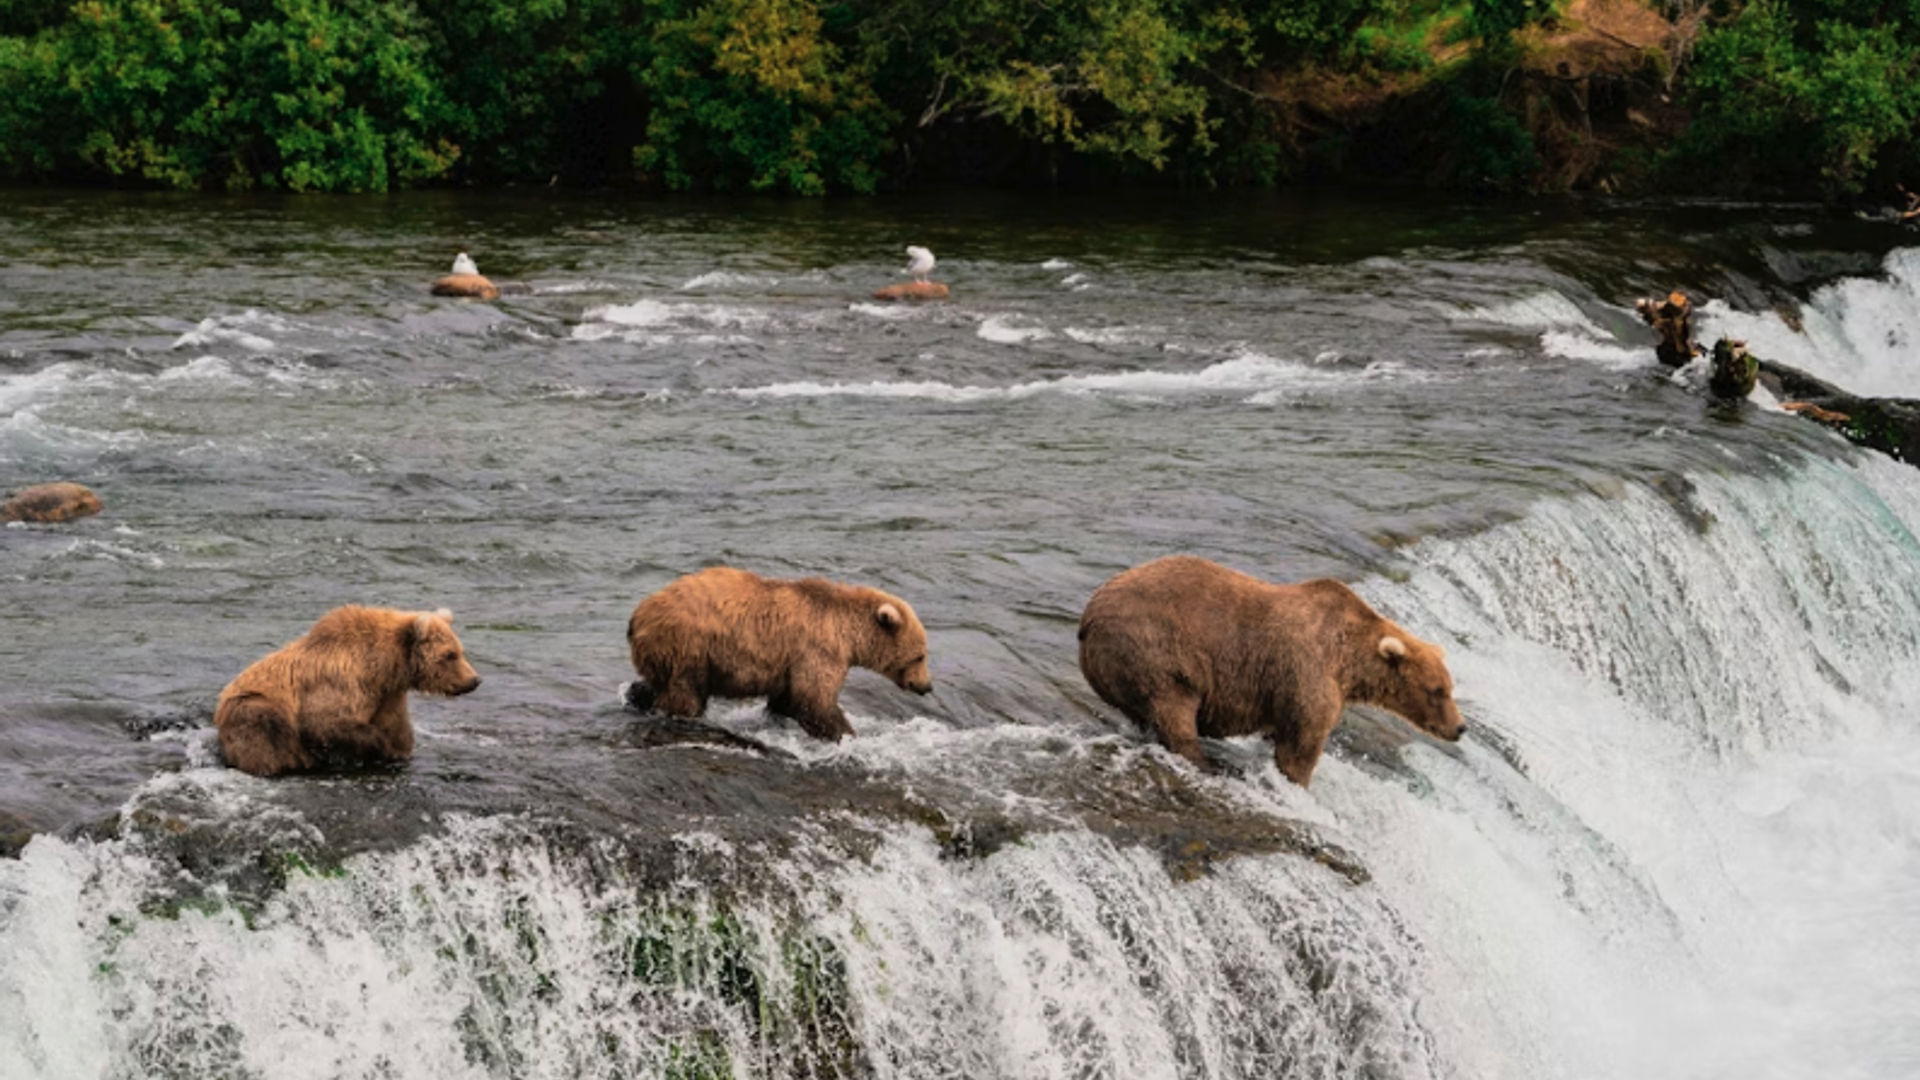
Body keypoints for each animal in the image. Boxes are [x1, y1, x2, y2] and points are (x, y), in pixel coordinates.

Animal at [214, 605, 482, 777]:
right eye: (450, 655)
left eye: (460, 651)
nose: (475, 680)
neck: (384, 667)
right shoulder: (340, 682)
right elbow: (325, 720)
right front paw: (378, 746)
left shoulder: (388, 695)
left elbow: (398, 732)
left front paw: (396, 751)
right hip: (250, 706)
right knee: (265, 727)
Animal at [625, 566, 933, 739]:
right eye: (920, 655)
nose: (926, 686)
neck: (847, 633)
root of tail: (639, 613)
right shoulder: (818, 649)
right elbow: (814, 698)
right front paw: (847, 734)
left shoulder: (791, 662)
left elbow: (788, 698)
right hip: (690, 646)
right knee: (685, 693)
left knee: (657, 683)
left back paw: (637, 696)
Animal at [1077, 555, 1464, 787]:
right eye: (1437, 690)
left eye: (1449, 687)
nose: (1460, 728)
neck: (1349, 663)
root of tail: (1088, 617)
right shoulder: (1308, 672)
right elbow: (1301, 743)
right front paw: (1298, 782)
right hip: (1155, 651)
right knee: (1173, 709)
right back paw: (1205, 763)